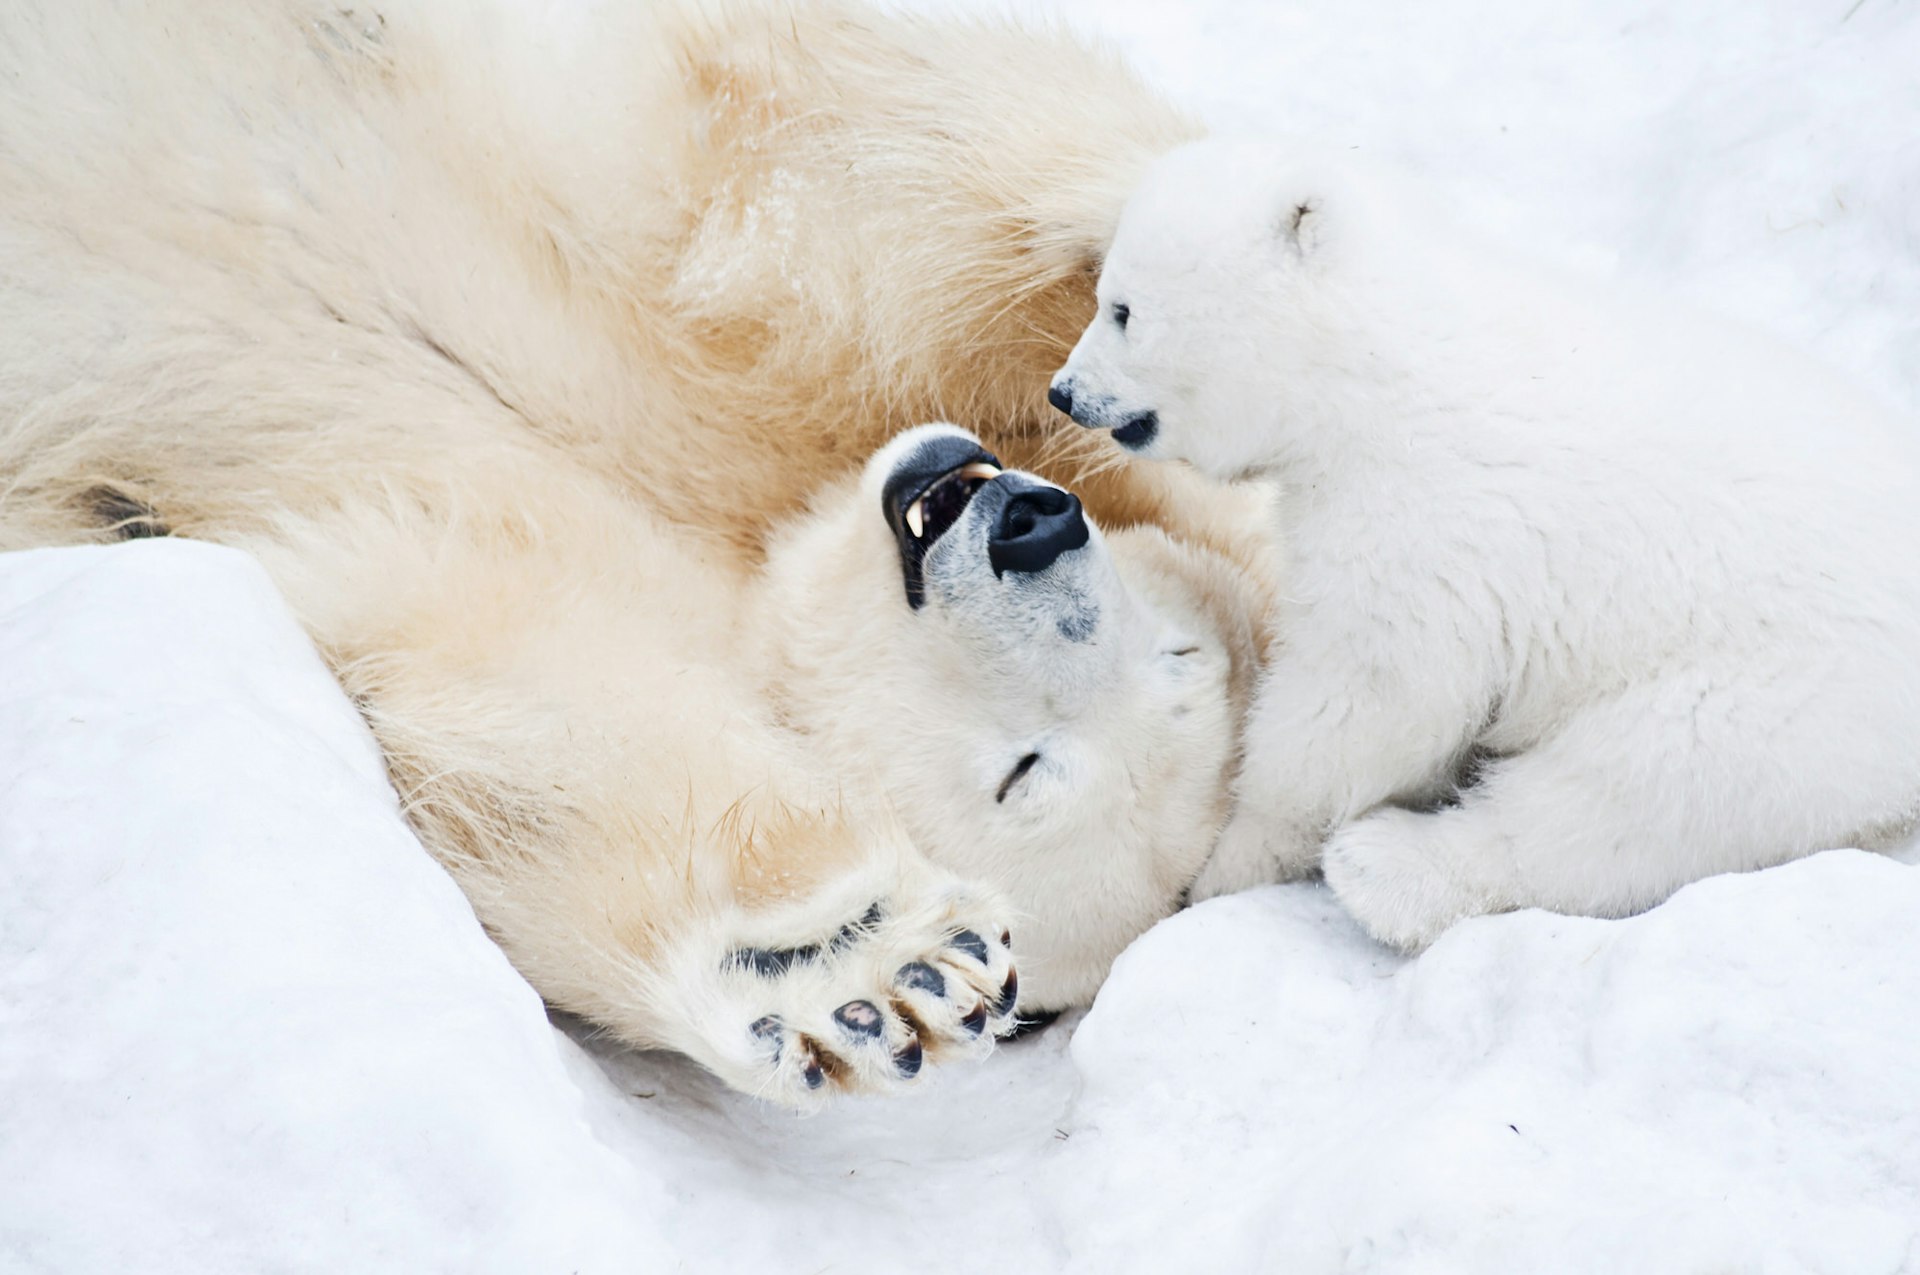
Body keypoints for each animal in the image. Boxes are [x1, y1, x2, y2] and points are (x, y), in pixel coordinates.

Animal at [0, 0, 1282, 1098]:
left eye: (1027, 772)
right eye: (1181, 649)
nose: (1031, 525)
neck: (737, 519)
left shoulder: (480, 544)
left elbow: (528, 716)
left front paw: (856, 964)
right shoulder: (696, 288)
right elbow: (841, 179)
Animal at [1052, 139, 1920, 952]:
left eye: (1121, 309)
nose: (1065, 392)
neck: (1380, 366)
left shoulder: (1421, 524)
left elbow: (1366, 699)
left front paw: (1230, 862)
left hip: (1785, 695)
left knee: (1634, 790)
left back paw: (1383, 866)